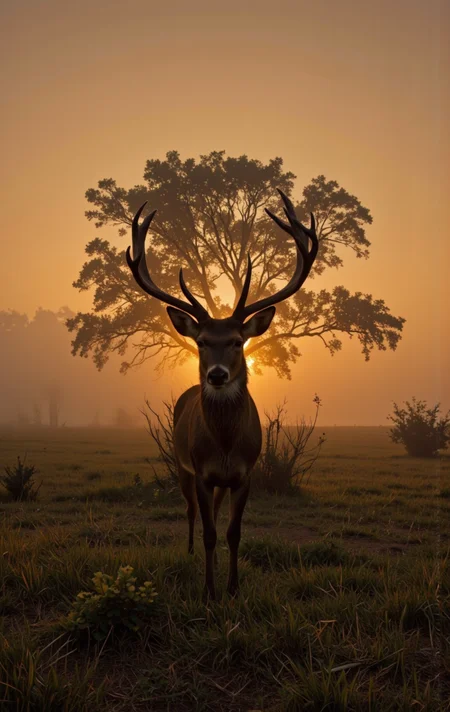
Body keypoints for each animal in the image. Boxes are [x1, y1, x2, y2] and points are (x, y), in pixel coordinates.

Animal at [126, 190, 319, 600]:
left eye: (235, 341)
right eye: (201, 341)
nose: (217, 375)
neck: (228, 445)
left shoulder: (244, 475)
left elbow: (232, 533)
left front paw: (232, 587)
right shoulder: (201, 471)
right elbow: (210, 533)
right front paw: (209, 590)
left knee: (210, 514)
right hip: (181, 465)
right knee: (191, 513)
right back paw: (188, 553)